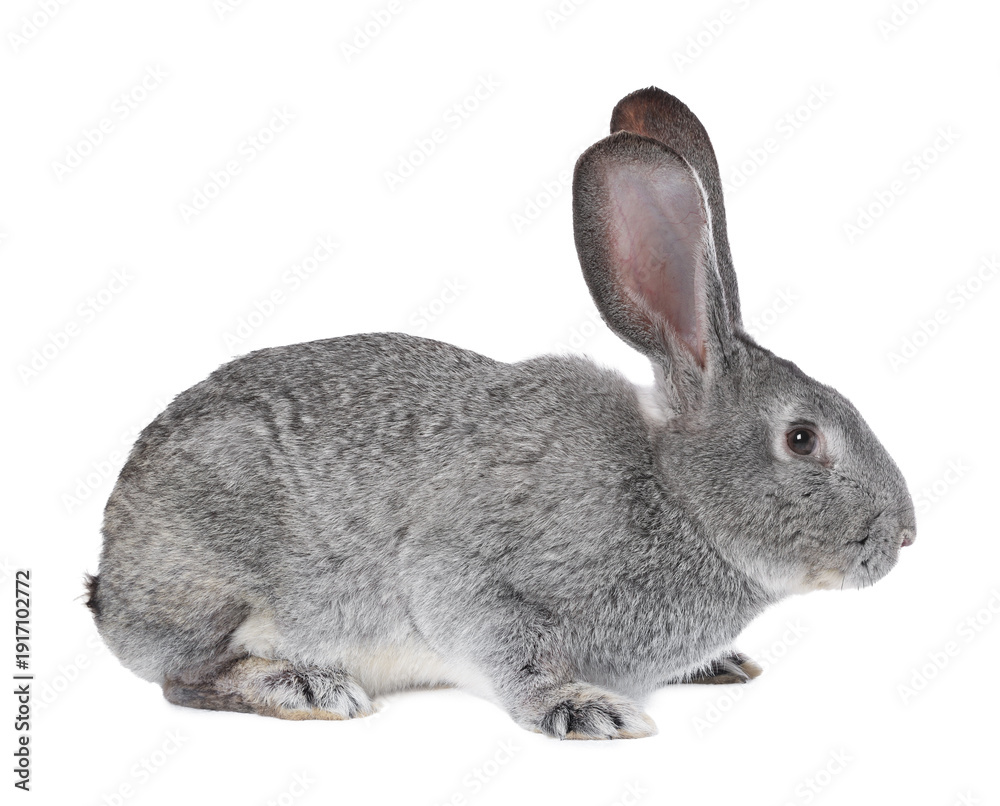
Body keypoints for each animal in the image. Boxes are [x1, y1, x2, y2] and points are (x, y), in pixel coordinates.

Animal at [85, 87, 915, 740]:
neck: (675, 495)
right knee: (182, 678)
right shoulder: (470, 575)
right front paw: (583, 708)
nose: (905, 535)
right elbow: (506, 650)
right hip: (218, 581)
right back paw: (306, 686)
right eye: (802, 438)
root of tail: (110, 579)